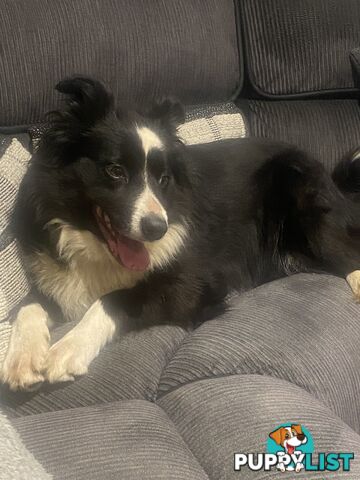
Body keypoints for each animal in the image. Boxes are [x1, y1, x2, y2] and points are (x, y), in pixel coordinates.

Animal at [1, 76, 358, 390]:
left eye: (163, 179)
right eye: (115, 171)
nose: (157, 230)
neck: (96, 247)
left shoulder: (194, 284)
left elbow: (115, 297)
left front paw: (67, 349)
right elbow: (27, 306)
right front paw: (23, 359)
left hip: (304, 199)